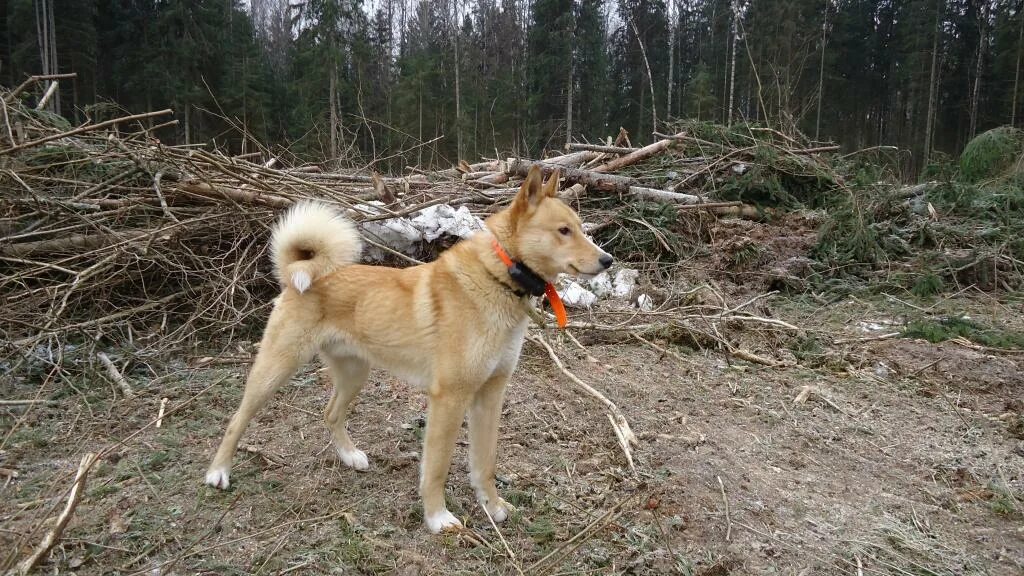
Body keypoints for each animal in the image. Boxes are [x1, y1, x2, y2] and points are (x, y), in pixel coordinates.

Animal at [203, 165, 610, 528]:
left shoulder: (490, 395)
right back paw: (218, 472)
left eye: (581, 228)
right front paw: (437, 517)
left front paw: (493, 507)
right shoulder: (449, 398)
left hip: (354, 373)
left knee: (330, 414)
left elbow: (485, 463)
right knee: (236, 420)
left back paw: (350, 456)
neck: (501, 277)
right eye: (563, 231)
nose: (608, 260)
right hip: (276, 369)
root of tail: (303, 274)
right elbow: (437, 467)